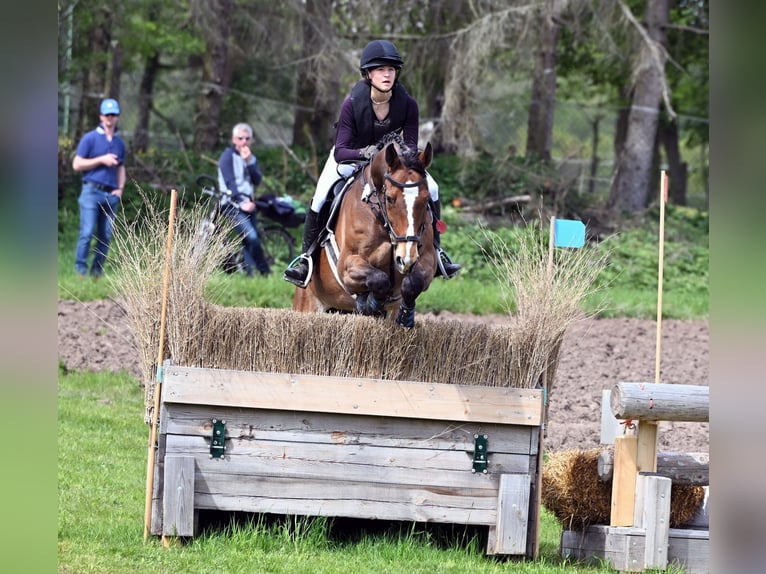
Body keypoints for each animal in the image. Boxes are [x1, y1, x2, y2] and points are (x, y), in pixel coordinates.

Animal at [294, 136, 438, 328]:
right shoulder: (346, 264)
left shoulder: (428, 259)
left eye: (426, 199)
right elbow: (379, 279)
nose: (406, 259)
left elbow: (414, 282)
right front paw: (370, 304)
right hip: (307, 303)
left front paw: (405, 317)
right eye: (389, 198)